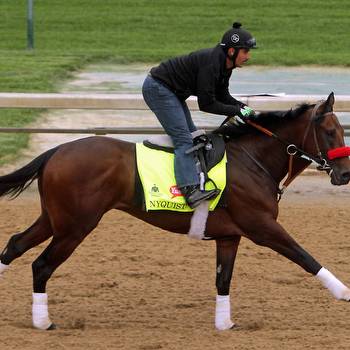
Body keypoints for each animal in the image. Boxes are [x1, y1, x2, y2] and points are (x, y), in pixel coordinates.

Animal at [0, 91, 350, 330]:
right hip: (75, 226)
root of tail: (56, 150)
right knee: (41, 265)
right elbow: (304, 257)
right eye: (330, 132)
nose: (345, 174)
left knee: (16, 244)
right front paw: (343, 292)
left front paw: (225, 324)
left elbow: (223, 280)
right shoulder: (262, 227)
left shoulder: (230, 236)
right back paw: (43, 322)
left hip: (54, 219)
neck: (253, 161)